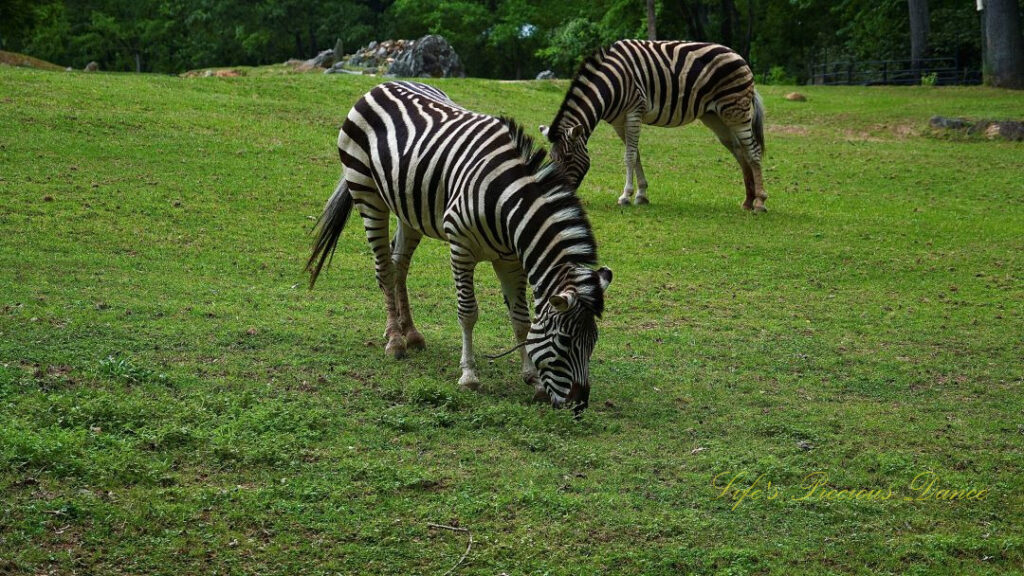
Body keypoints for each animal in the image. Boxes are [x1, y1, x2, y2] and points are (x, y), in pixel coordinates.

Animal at [303, 80, 606, 409]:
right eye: (565, 341)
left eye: (593, 341)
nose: (580, 405)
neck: (505, 203)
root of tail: (382, 84)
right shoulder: (461, 247)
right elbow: (468, 312)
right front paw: (469, 375)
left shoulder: (510, 260)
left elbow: (521, 320)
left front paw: (533, 379)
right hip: (367, 193)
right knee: (384, 268)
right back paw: (395, 340)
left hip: (409, 209)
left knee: (398, 267)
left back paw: (410, 333)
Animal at [536, 39, 770, 211]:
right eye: (552, 159)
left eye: (567, 158)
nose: (561, 196)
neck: (609, 86)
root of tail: (739, 56)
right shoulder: (619, 122)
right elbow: (636, 155)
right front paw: (641, 194)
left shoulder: (634, 112)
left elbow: (629, 156)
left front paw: (625, 196)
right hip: (717, 117)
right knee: (740, 151)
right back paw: (748, 201)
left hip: (737, 111)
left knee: (753, 152)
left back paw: (759, 202)